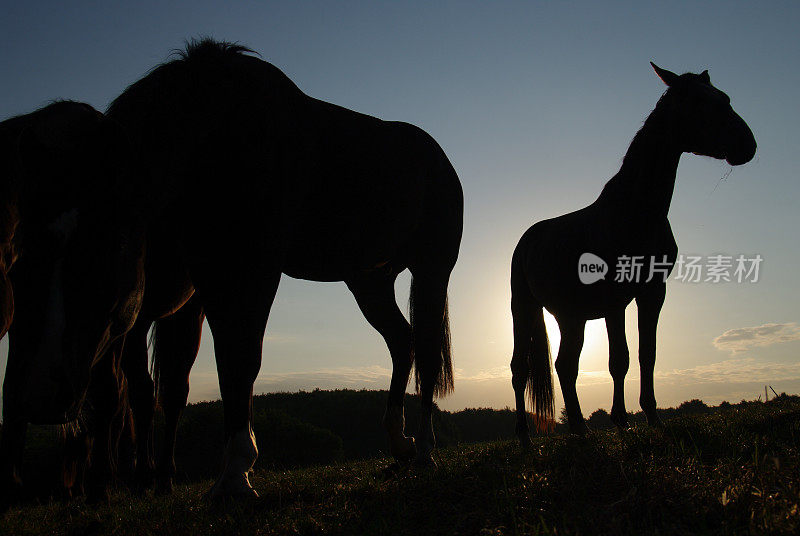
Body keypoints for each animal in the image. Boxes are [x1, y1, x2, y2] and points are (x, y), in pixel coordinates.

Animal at [0, 100, 147, 502]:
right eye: (20, 258)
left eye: (103, 255)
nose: (43, 396)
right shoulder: (18, 329)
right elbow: (9, 393)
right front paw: (10, 484)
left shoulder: (118, 328)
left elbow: (110, 397)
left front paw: (100, 485)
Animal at [107, 40, 466, 498]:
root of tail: (439, 159)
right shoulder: (209, 272)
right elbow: (223, 364)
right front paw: (226, 473)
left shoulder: (254, 267)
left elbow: (243, 359)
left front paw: (236, 474)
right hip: (369, 281)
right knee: (403, 342)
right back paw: (399, 444)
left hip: (430, 272)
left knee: (426, 347)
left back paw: (424, 453)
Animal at [512, 63, 756, 440]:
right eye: (698, 101)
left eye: (724, 97)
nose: (748, 145)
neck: (637, 211)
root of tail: (526, 242)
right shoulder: (615, 299)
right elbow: (621, 359)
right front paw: (624, 419)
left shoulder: (649, 292)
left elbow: (640, 355)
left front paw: (640, 418)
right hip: (529, 309)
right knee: (529, 369)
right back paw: (544, 434)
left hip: (572, 316)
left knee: (564, 366)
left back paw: (577, 428)